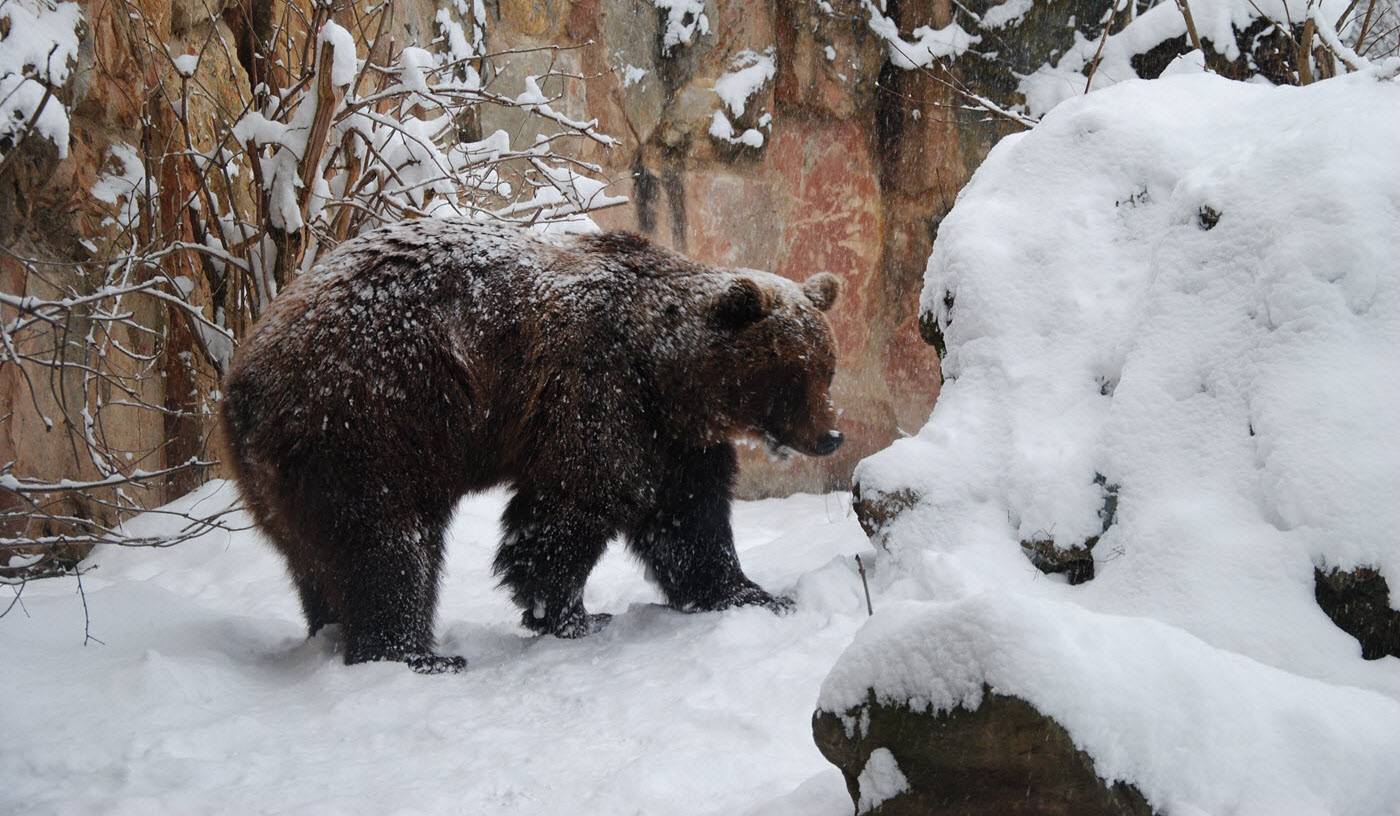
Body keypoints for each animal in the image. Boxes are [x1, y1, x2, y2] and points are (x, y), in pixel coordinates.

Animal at [221, 219, 840, 674]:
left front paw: (754, 594)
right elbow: (574, 504)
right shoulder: (596, 388)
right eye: (794, 374)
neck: (665, 371)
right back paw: (415, 655)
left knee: (315, 560)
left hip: (290, 475)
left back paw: (334, 630)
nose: (831, 435)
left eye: (826, 368)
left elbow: (688, 519)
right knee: (389, 542)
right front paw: (568, 614)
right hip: (369, 420)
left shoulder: (670, 436)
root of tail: (243, 375)